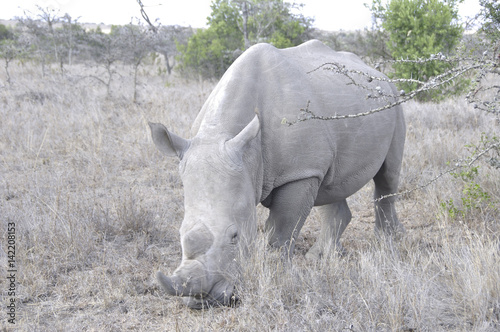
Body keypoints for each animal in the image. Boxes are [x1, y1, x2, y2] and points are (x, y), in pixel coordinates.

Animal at [149, 40, 406, 310]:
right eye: (180, 234)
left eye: (234, 236)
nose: (202, 300)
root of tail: (377, 72)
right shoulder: (299, 168)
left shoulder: (299, 173)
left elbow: (280, 230)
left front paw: (276, 274)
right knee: (331, 187)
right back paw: (321, 257)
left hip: (392, 99)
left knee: (387, 177)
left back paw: (387, 244)